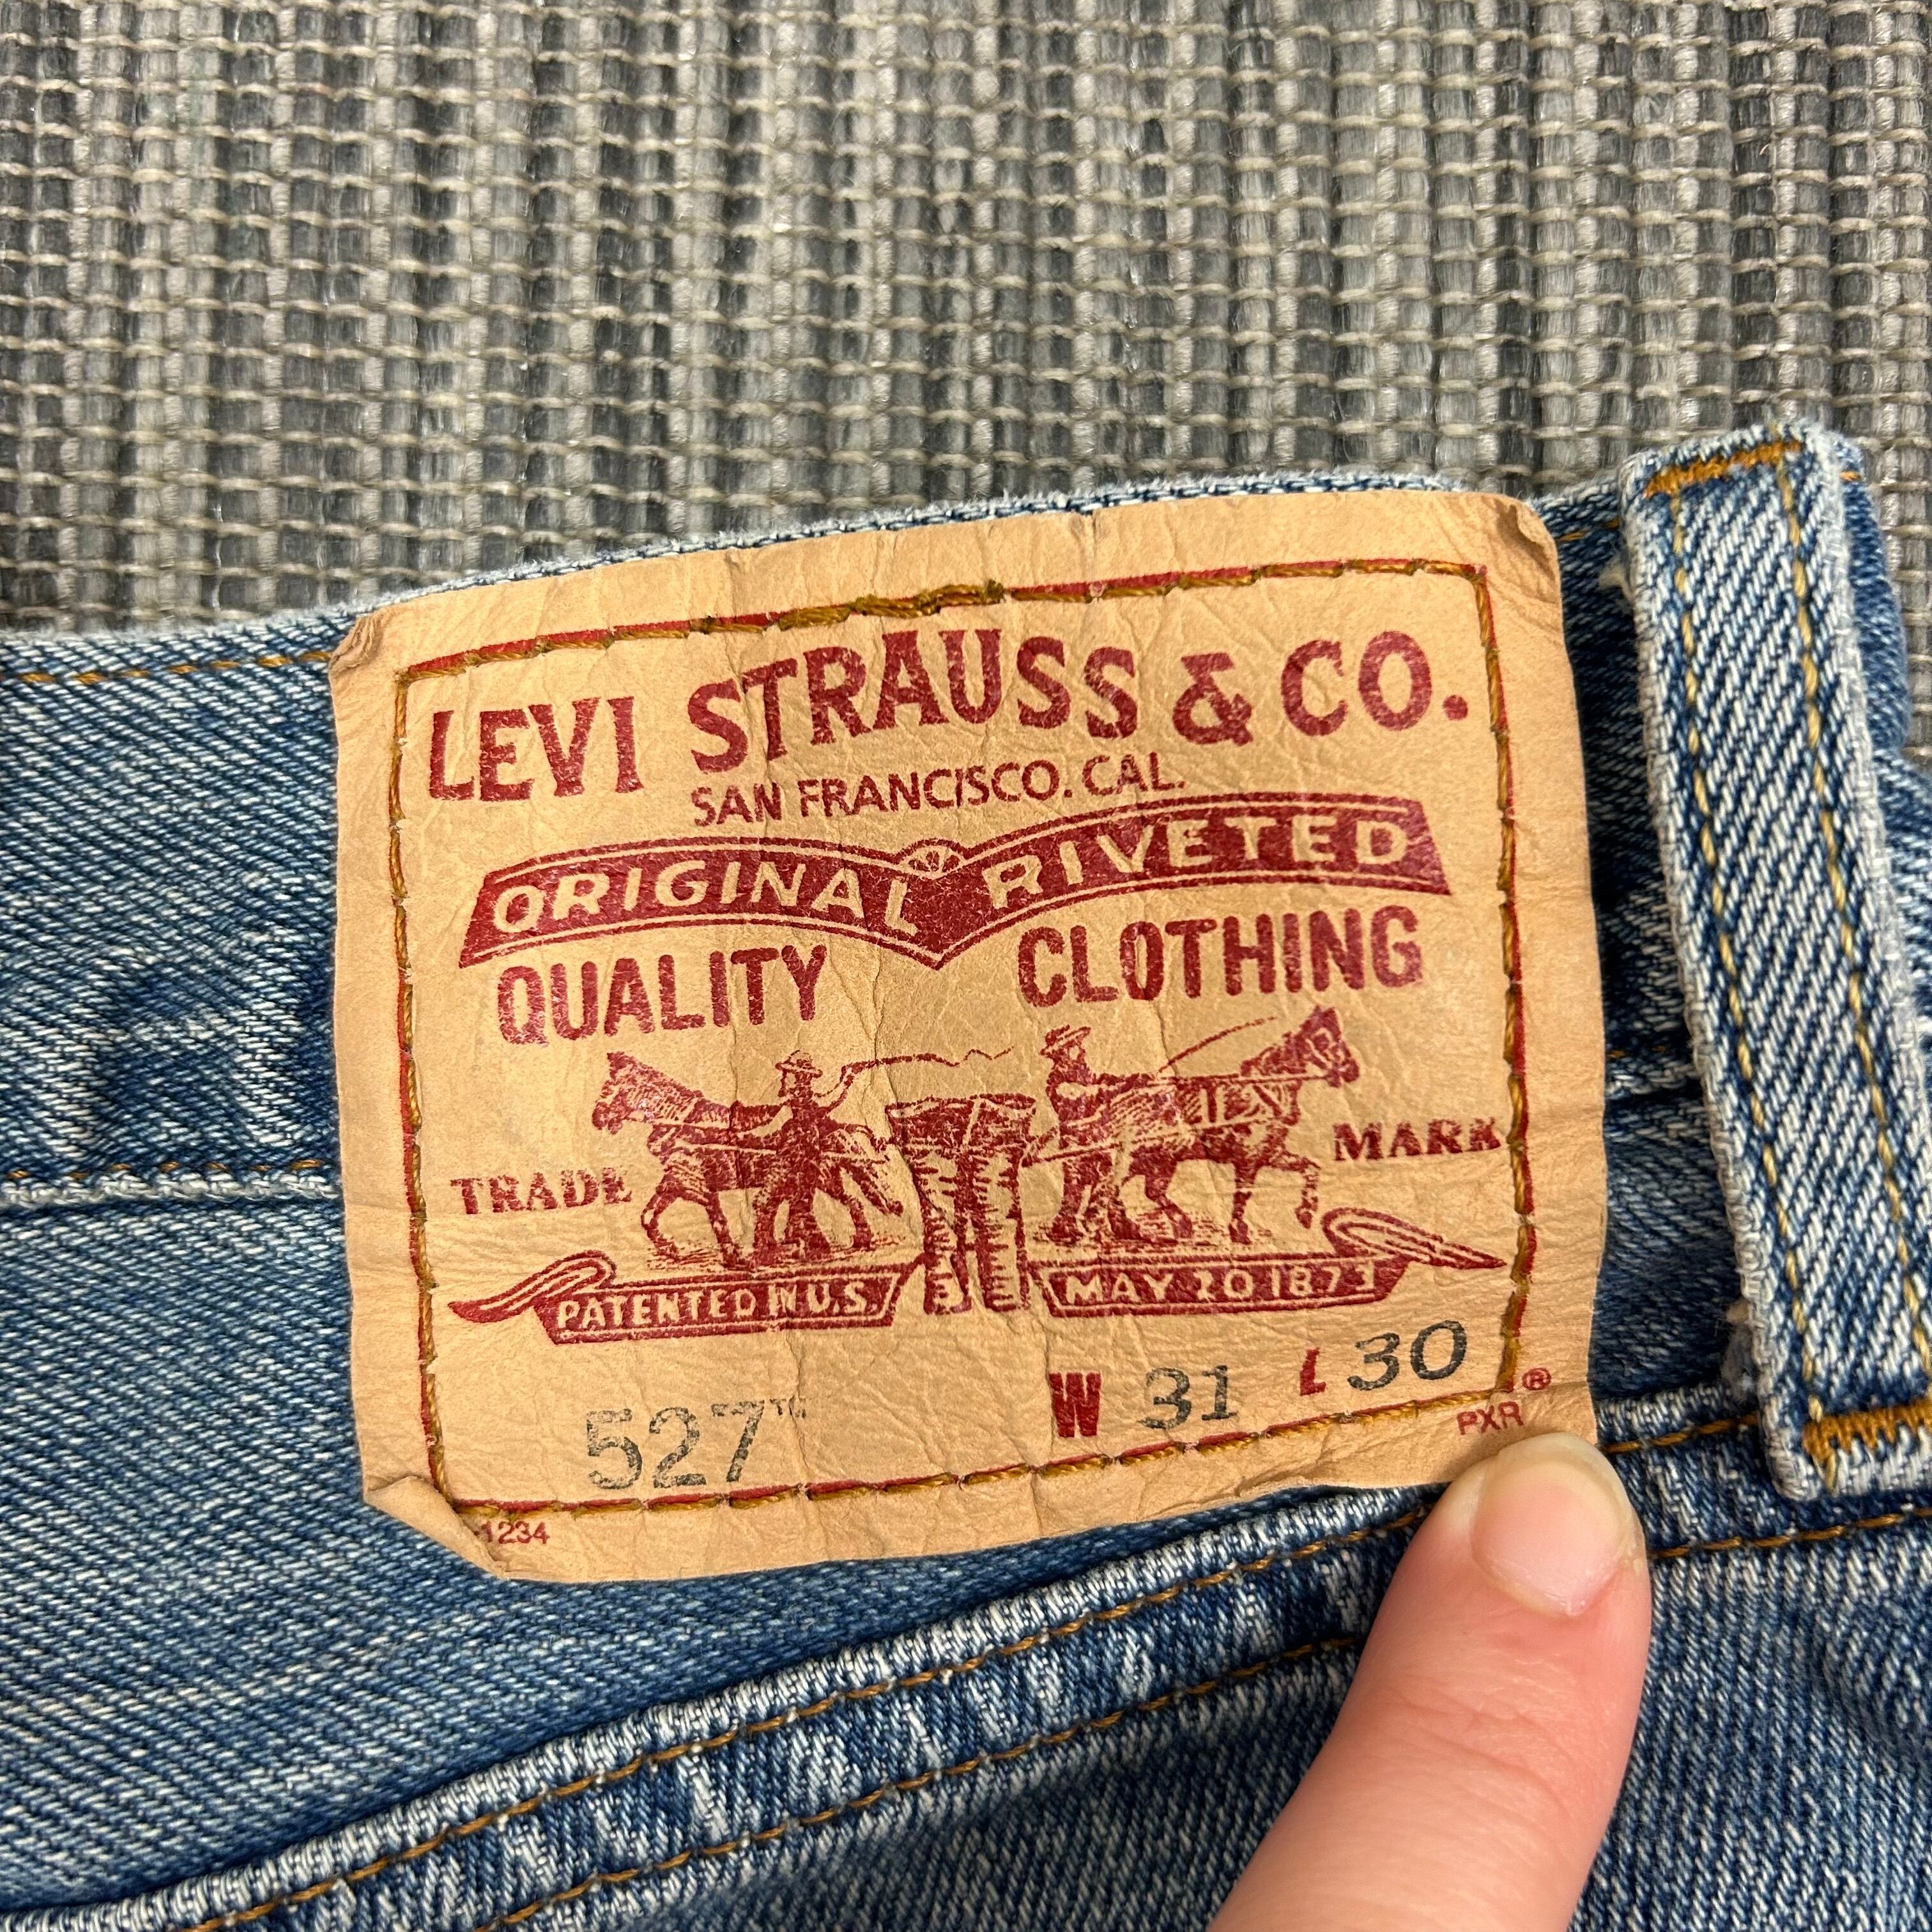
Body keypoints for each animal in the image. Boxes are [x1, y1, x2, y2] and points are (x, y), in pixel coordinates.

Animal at [591, 1051, 901, 1268]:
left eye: (607, 1088)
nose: (597, 1118)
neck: (683, 1126)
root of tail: (831, 1125)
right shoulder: (676, 1181)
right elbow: (647, 1216)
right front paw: (671, 1248)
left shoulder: (700, 1187)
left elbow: (717, 1219)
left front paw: (733, 1256)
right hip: (819, 1180)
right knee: (845, 1201)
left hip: (817, 1177)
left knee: (838, 1202)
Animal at [1042, 1007, 1360, 1248]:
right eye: (1323, 1040)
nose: (1352, 1070)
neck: (1265, 1091)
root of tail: (1113, 1107)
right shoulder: (1247, 1159)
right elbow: (1243, 1193)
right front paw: (1239, 1231)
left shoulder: (1271, 1153)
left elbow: (1310, 1168)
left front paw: (1306, 1213)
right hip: (1128, 1160)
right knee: (1102, 1189)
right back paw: (1091, 1232)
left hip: (1158, 1161)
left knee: (1135, 1191)